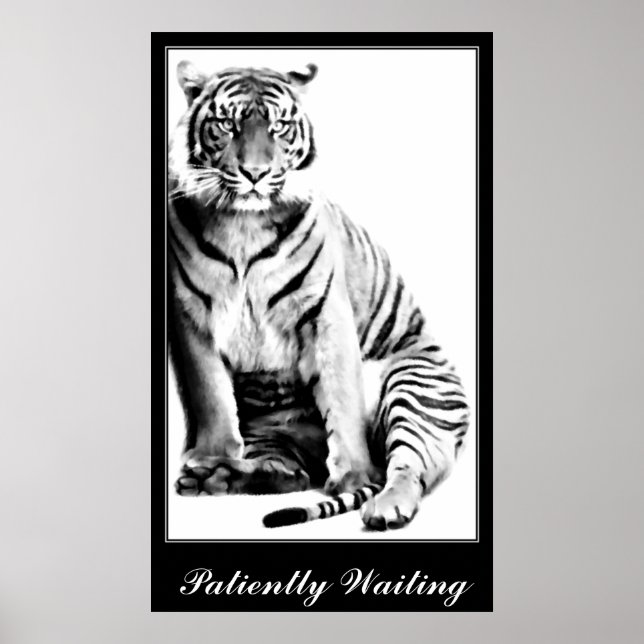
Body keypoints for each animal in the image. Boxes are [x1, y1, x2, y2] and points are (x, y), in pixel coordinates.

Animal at [168, 60, 470, 530]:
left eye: (278, 127)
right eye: (227, 125)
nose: (255, 174)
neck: (243, 224)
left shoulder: (326, 313)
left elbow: (343, 400)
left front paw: (353, 477)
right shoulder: (192, 316)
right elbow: (211, 395)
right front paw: (212, 454)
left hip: (412, 386)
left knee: (407, 466)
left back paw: (385, 505)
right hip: (268, 429)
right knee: (287, 473)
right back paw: (217, 475)